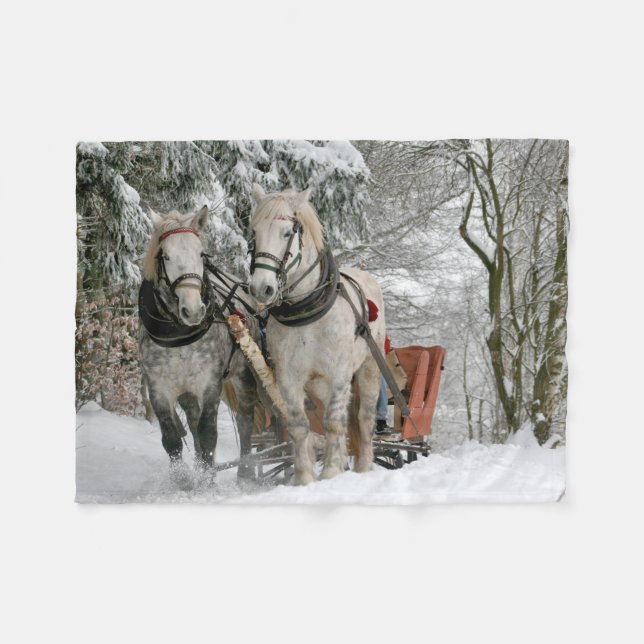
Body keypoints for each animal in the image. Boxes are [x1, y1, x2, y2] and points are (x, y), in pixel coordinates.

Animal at [139, 206, 258, 486]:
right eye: (166, 256)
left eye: (201, 253)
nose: (193, 310)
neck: (178, 334)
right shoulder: (159, 388)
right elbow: (172, 438)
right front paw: (184, 480)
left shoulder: (209, 383)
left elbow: (208, 433)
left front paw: (206, 481)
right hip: (187, 392)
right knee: (192, 424)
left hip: (243, 374)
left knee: (245, 420)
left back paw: (246, 473)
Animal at [248, 184, 385, 485]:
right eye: (254, 233)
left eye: (287, 233)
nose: (261, 289)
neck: (307, 309)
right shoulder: (288, 377)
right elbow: (300, 426)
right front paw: (304, 478)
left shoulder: (339, 372)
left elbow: (333, 422)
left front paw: (332, 471)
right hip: (319, 384)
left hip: (369, 367)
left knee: (364, 417)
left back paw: (363, 466)